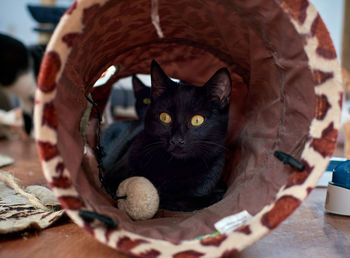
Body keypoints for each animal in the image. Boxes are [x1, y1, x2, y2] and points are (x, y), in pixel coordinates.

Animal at [102, 61, 231, 212]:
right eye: (165, 117)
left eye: (197, 120)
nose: (176, 140)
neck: (174, 166)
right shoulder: (112, 178)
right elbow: (174, 199)